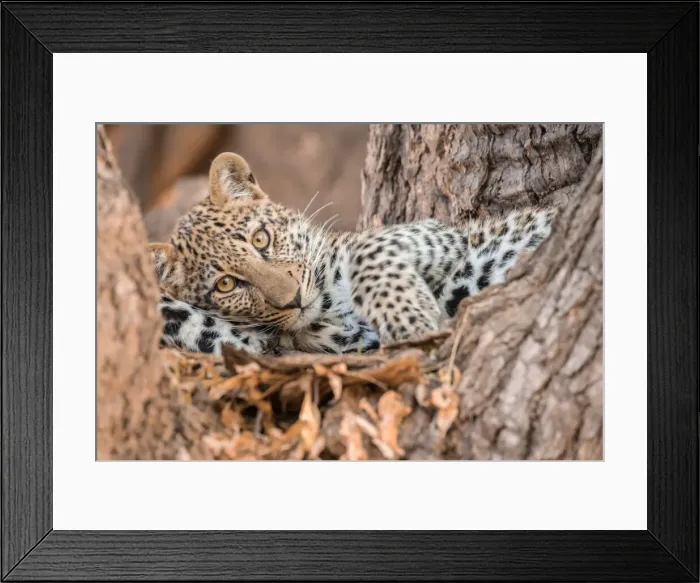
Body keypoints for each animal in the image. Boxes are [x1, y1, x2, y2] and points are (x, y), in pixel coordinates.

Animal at [149, 152, 556, 357]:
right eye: (226, 285)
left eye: (261, 240)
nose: (293, 300)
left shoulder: (440, 235)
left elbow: (366, 248)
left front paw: (413, 321)